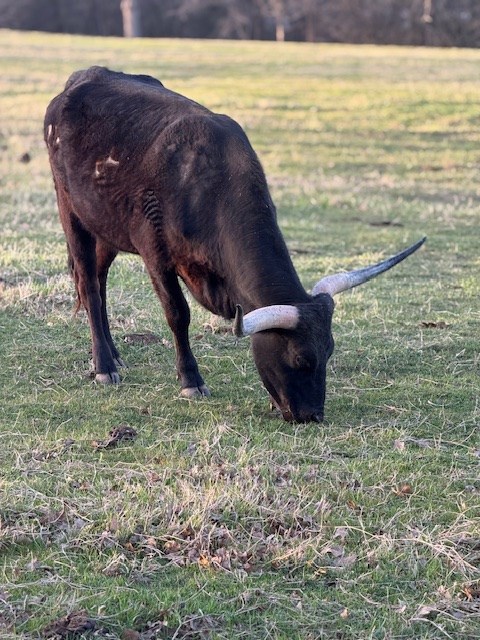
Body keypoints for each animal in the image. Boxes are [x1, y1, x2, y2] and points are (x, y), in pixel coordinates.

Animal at [44, 66, 425, 423]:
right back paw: (104, 366)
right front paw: (191, 380)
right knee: (89, 285)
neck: (207, 184)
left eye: (329, 351)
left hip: (105, 225)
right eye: (300, 358)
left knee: (99, 281)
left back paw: (112, 354)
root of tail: (84, 78)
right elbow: (178, 314)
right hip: (71, 212)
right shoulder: (155, 253)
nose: (311, 415)